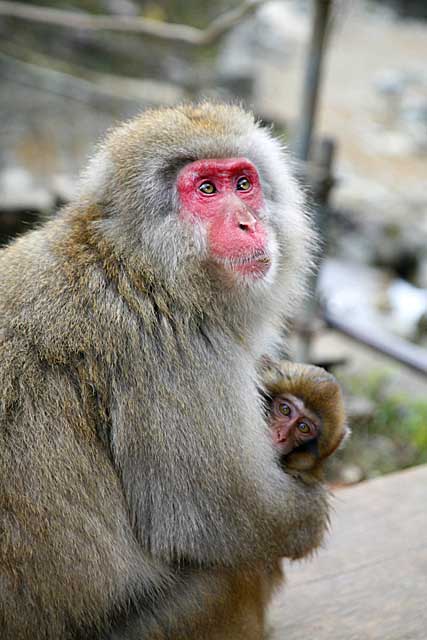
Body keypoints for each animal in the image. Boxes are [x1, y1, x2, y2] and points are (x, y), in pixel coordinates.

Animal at [0, 102, 336, 636]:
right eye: (207, 190)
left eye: (244, 184)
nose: (248, 224)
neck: (139, 265)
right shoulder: (176, 352)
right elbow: (218, 518)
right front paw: (310, 510)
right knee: (239, 567)